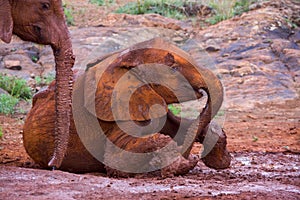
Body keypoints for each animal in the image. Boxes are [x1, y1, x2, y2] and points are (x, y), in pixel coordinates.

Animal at [23, 38, 231, 177]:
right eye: (173, 69)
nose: (194, 156)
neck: (122, 58)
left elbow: (180, 126)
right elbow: (115, 160)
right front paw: (180, 162)